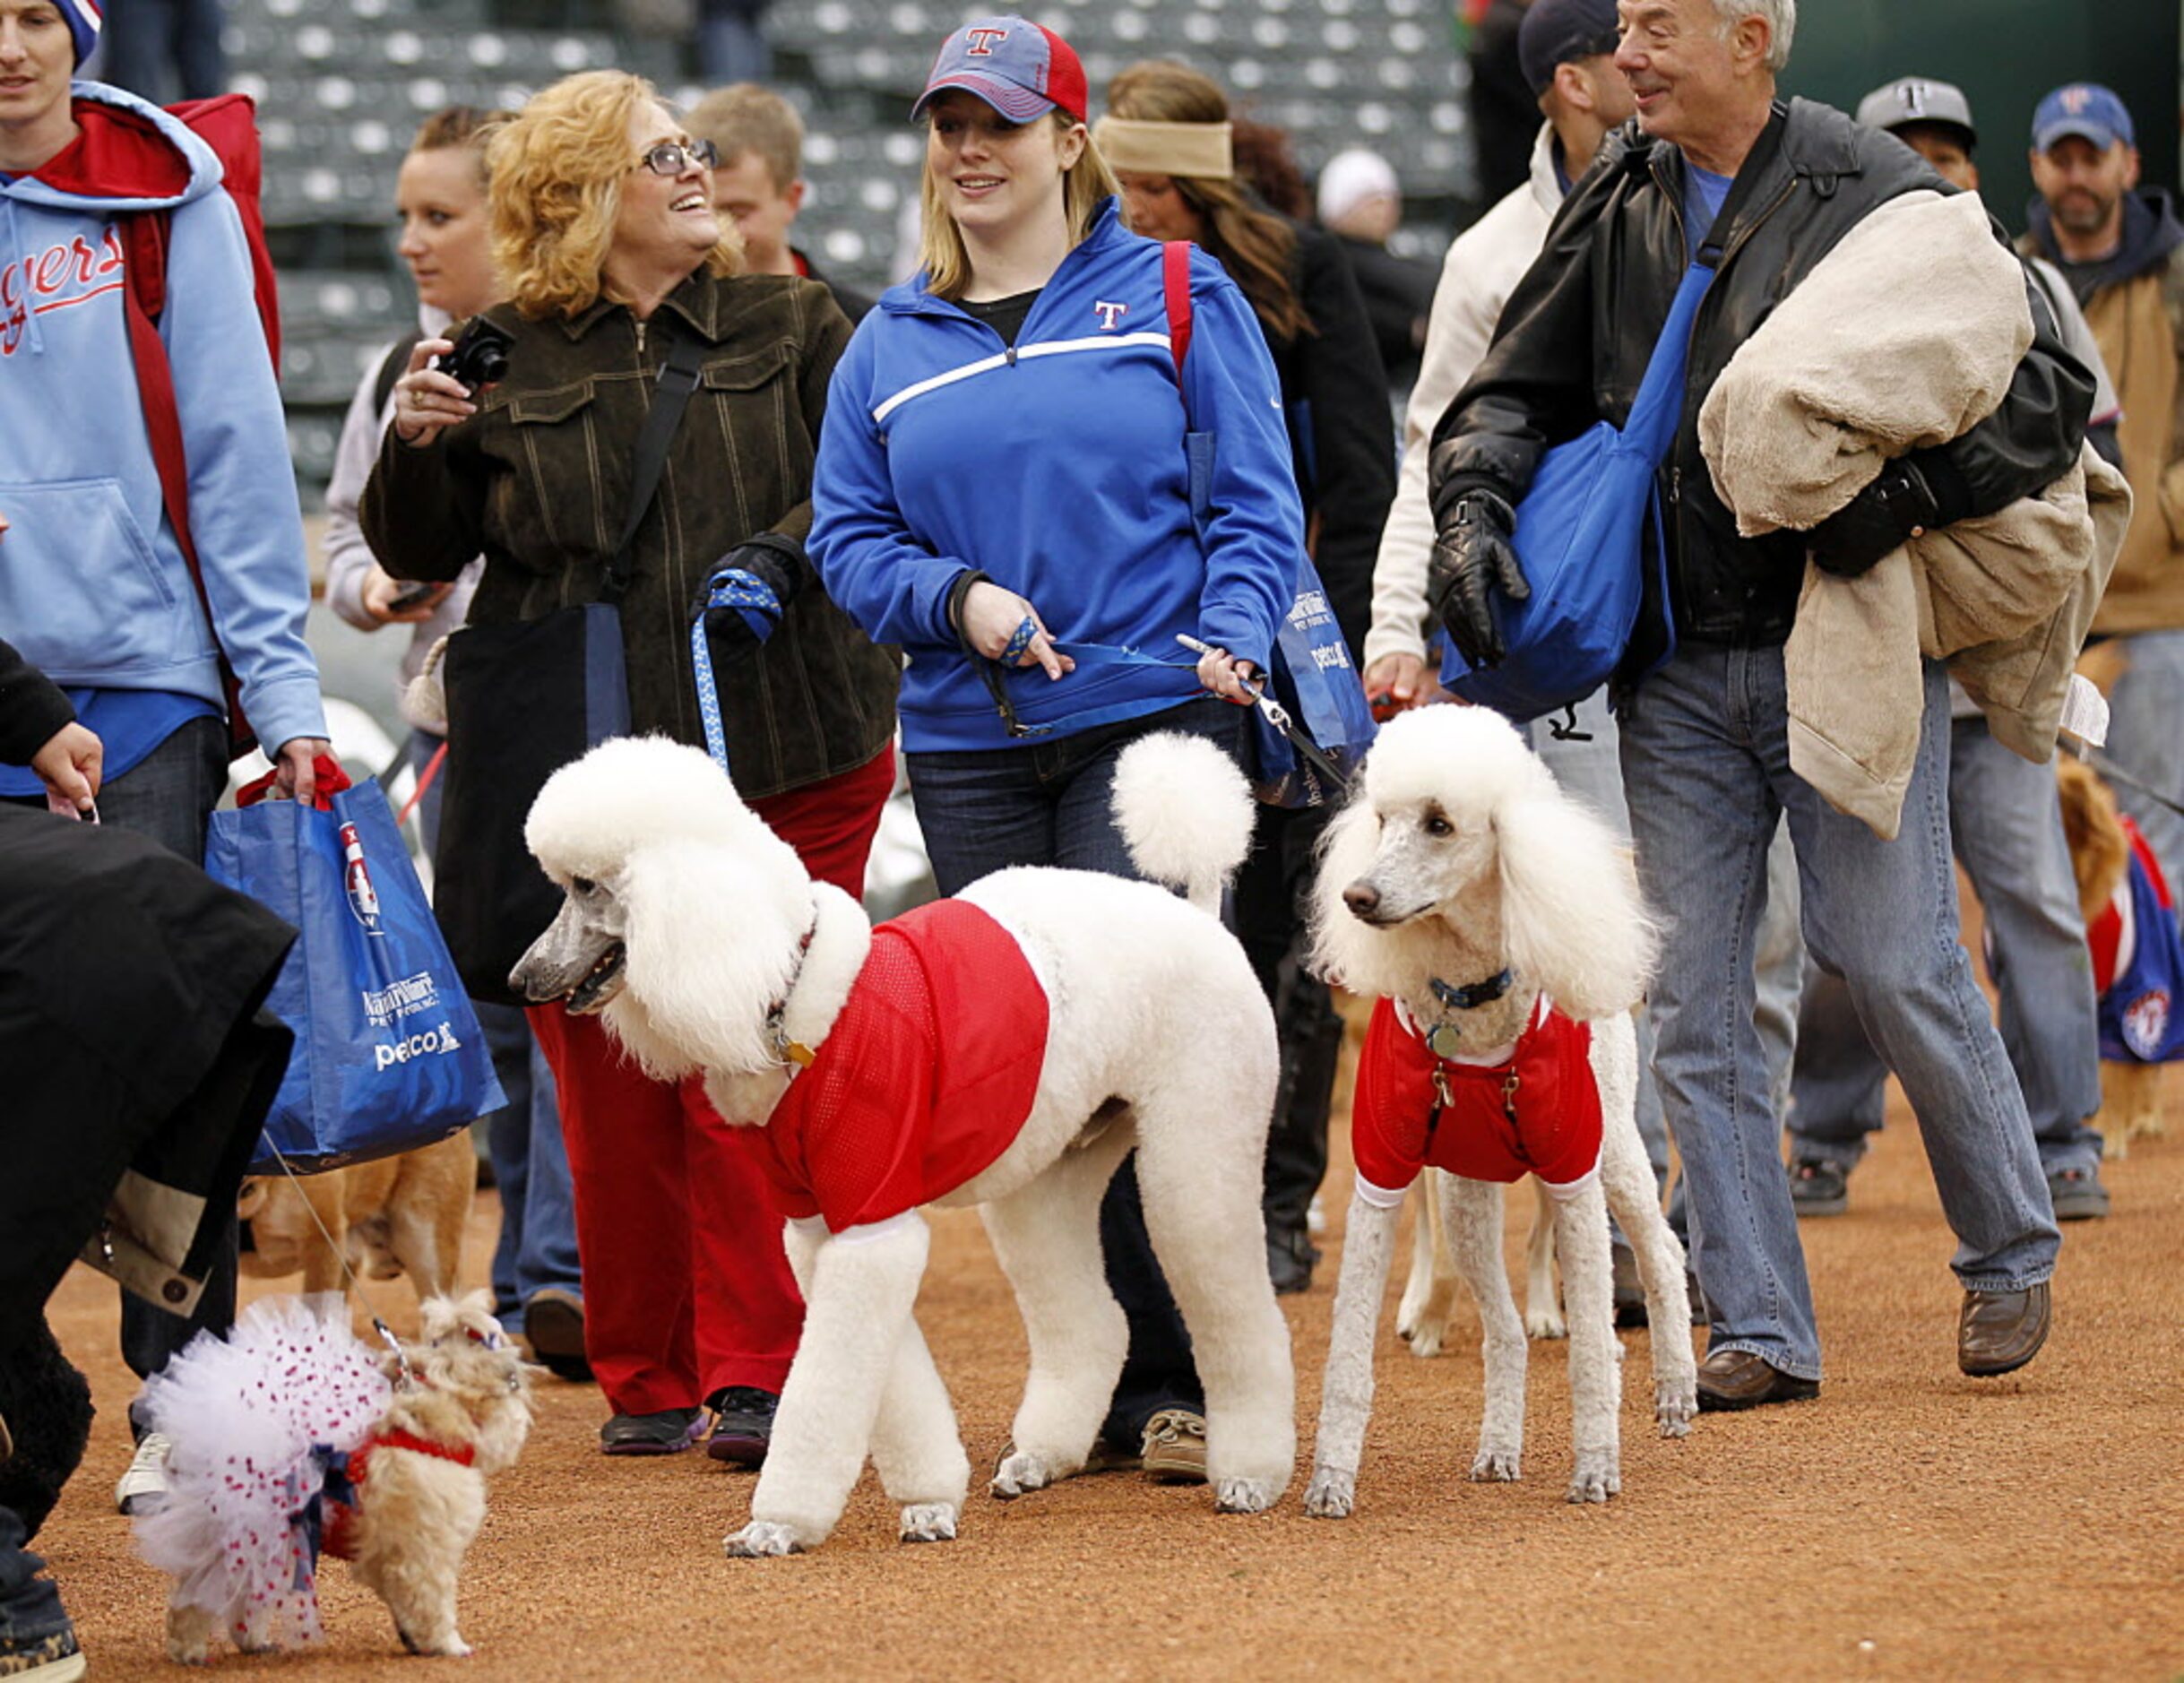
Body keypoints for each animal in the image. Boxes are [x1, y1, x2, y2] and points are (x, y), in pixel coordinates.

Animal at [136, 1300, 532, 1667]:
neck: (423, 1434)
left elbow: (404, 1604)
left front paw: (413, 1638)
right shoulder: (423, 1555)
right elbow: (431, 1604)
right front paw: (447, 1645)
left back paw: (253, 1642)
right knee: (193, 1599)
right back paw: (189, 1651)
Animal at [511, 729, 1292, 1563]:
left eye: (587, 886)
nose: (520, 980)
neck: (788, 994)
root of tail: (1200, 918)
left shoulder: (871, 1214)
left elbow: (828, 1383)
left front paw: (778, 1523)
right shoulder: (822, 1226)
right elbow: (884, 1380)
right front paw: (927, 1503)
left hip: (1198, 1142)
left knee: (1238, 1312)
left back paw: (1250, 1476)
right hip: (1050, 1168)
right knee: (1091, 1320)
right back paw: (1039, 1460)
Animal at [1301, 703, 1695, 1519]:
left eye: (1439, 823)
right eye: (1380, 819)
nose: (1357, 897)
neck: (1469, 1001)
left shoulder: (1574, 1174)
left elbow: (1588, 1350)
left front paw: (1596, 1467)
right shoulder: (1380, 1176)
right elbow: (1349, 1347)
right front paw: (1330, 1481)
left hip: (1611, 1153)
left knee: (1660, 1252)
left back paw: (1675, 1388)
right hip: (1465, 1192)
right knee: (1503, 1329)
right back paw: (1497, 1448)